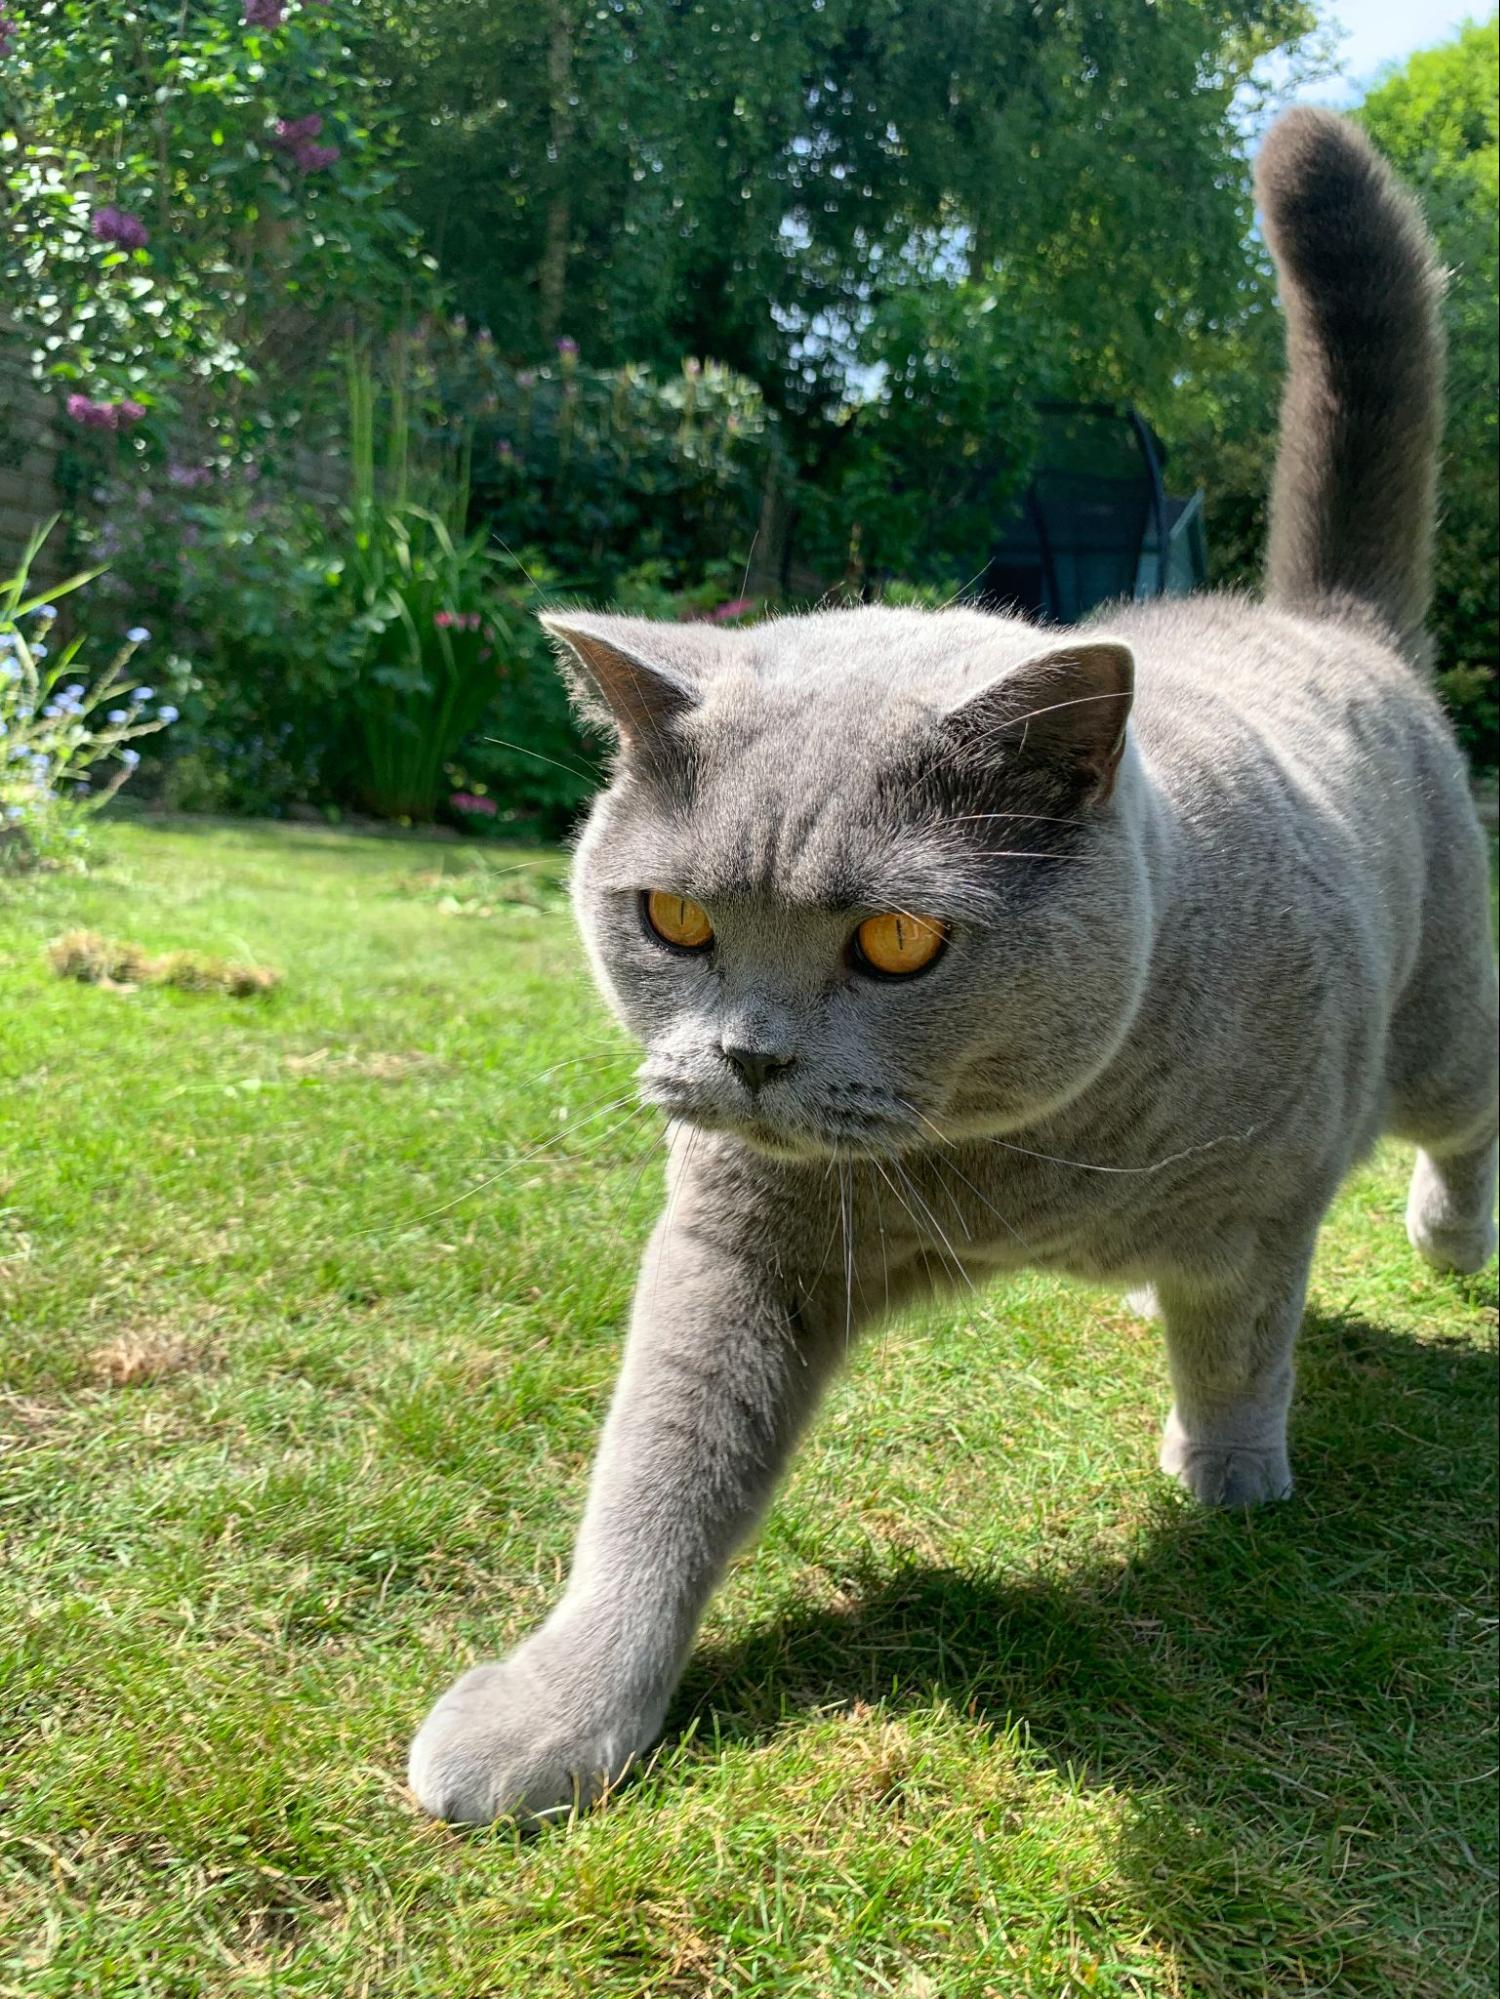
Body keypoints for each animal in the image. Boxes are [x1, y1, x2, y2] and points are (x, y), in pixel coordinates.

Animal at [408, 109, 1500, 1831]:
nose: (750, 1055)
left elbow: (1246, 1335)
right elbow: (655, 1473)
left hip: (1439, 1017)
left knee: (1465, 1113)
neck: (1014, 1172)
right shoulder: (740, 1236)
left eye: (898, 939)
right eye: (675, 920)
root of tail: (1321, 619)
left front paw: (1233, 1473)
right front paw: (557, 1712)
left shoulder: (1265, 1196)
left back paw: (1449, 1241)